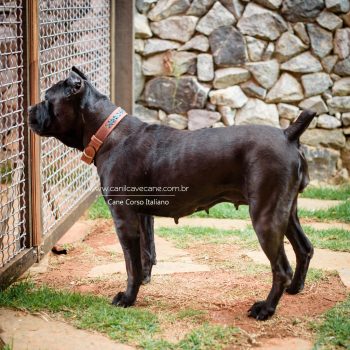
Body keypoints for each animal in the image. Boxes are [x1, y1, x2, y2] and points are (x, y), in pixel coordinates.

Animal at [28, 67, 316, 322]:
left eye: (47, 98)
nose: (29, 110)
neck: (107, 132)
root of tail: (288, 134)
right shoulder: (143, 215)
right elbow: (146, 253)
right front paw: (144, 280)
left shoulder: (124, 218)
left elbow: (130, 263)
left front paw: (128, 298)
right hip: (286, 211)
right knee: (305, 249)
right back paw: (294, 289)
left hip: (265, 217)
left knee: (281, 268)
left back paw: (266, 309)